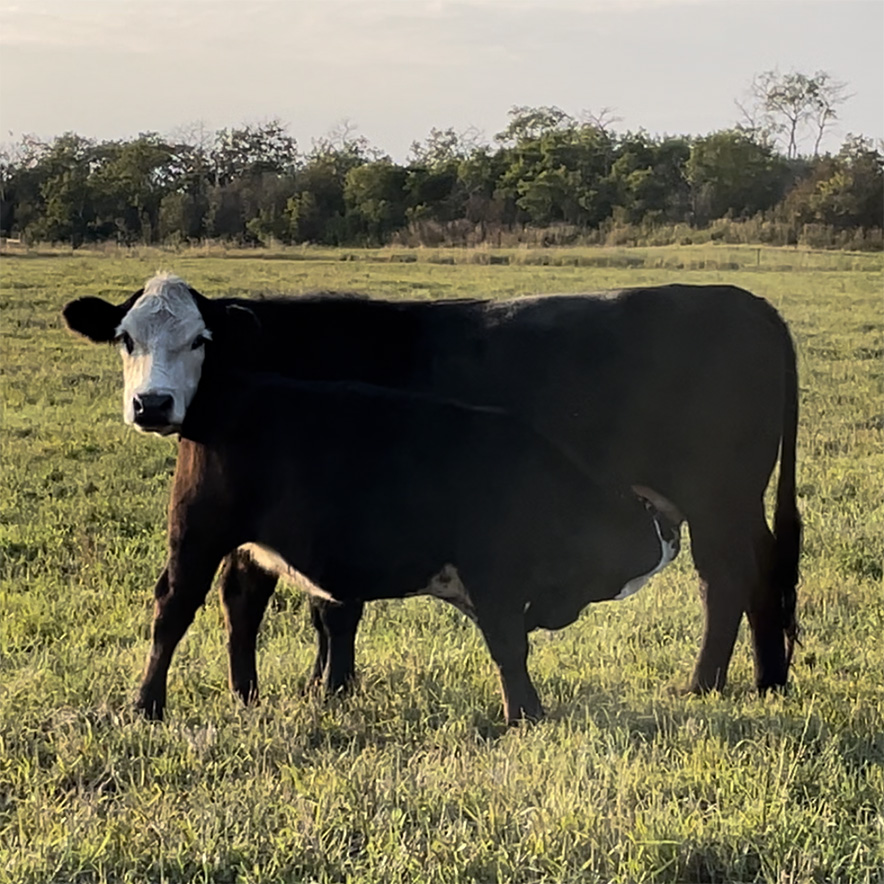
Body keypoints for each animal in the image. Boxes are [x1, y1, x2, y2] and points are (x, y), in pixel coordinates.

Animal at [65, 272, 804, 720]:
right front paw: (295, 688)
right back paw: (769, 680)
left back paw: (704, 683)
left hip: (716, 499)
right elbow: (267, 603)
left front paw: (331, 688)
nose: (152, 405)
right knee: (762, 572)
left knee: (725, 579)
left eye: (199, 340)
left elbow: (332, 611)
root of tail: (751, 304)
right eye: (126, 339)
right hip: (729, 503)